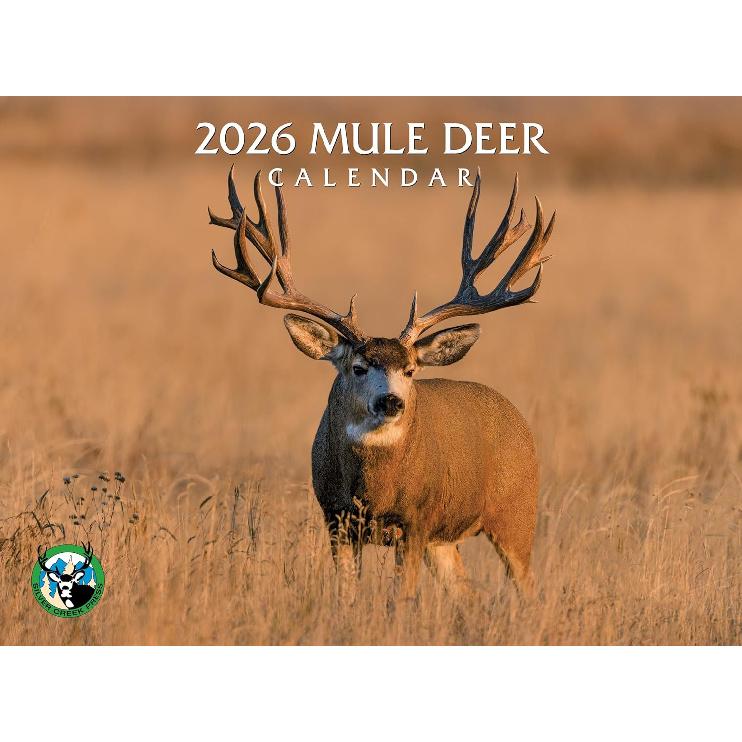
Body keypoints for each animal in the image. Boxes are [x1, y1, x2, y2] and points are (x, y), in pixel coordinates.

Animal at [209, 167, 555, 600]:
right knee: (466, 592)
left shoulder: (416, 521)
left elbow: (400, 598)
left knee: (528, 588)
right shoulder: (336, 519)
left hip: (517, 514)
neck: (373, 489)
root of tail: (517, 417)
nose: (391, 402)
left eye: (410, 370)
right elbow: (346, 593)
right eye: (358, 367)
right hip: (447, 539)